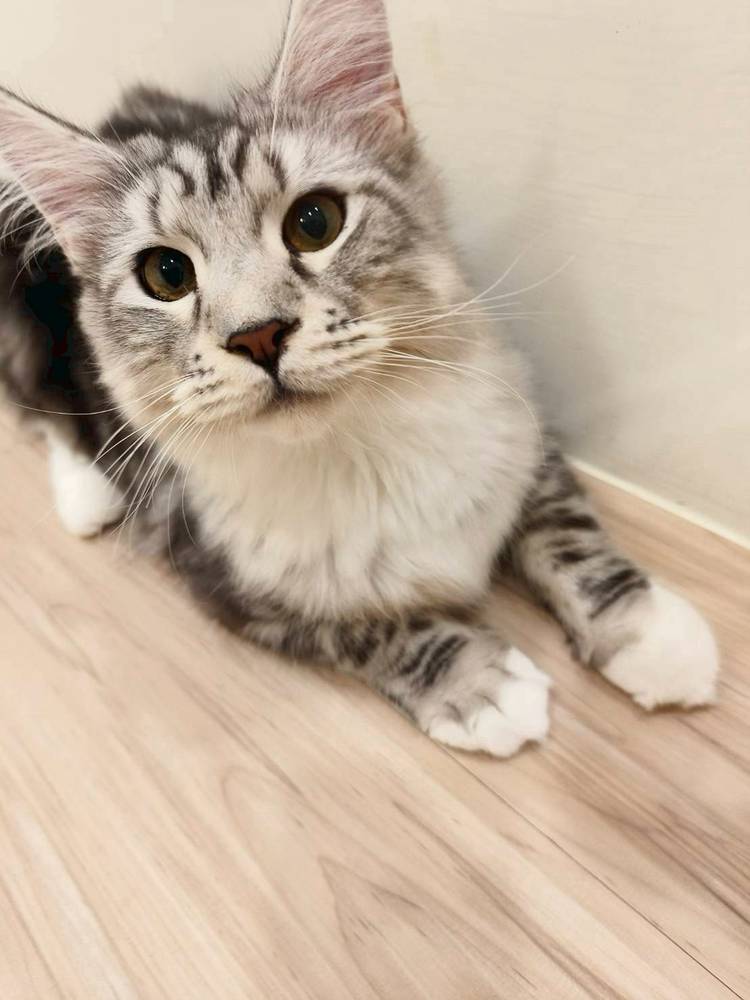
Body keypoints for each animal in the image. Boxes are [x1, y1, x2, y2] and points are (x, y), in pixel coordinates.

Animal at [0, 0, 718, 756]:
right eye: (166, 274)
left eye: (315, 222)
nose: (257, 334)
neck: (363, 450)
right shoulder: (228, 580)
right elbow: (372, 629)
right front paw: (482, 688)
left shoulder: (522, 428)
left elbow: (570, 530)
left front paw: (649, 632)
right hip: (28, 336)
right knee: (43, 414)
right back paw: (88, 496)